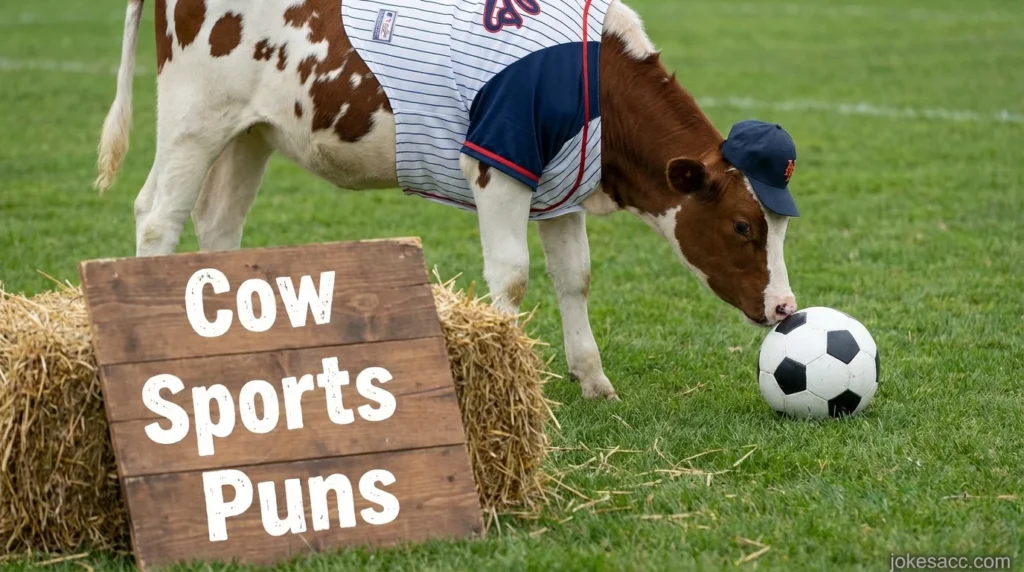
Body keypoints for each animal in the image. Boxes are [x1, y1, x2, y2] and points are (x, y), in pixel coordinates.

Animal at [94, 0, 799, 402]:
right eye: (743, 226)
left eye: (781, 226)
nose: (786, 308)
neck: (596, 81)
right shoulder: (500, 167)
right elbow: (512, 278)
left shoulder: (563, 186)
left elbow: (575, 277)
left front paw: (593, 380)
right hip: (194, 116)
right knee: (157, 218)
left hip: (252, 133)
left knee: (218, 225)